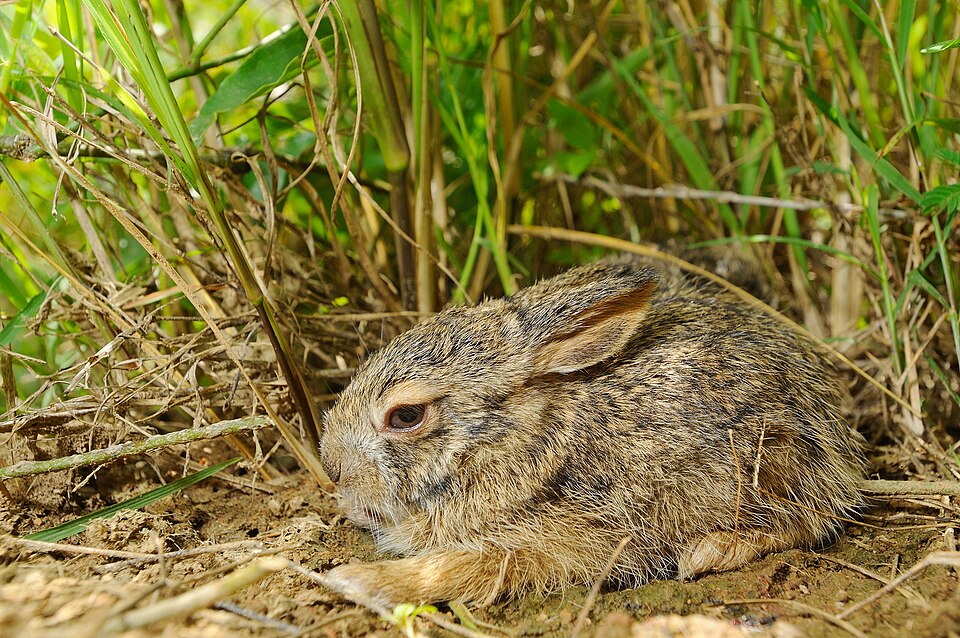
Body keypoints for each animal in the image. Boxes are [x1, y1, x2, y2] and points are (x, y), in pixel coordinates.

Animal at [318, 256, 866, 606]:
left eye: (405, 417)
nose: (332, 466)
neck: (514, 441)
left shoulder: (569, 539)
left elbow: (466, 567)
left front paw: (354, 581)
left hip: (768, 462)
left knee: (809, 520)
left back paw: (711, 551)